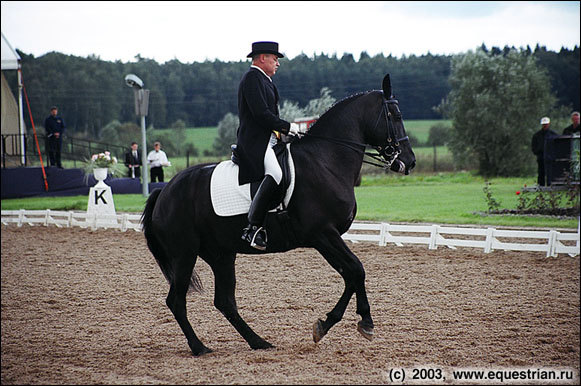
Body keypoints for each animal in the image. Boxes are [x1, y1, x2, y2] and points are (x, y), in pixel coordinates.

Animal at [143, 73, 414, 356]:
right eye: (395, 115)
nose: (408, 161)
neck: (325, 161)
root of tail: (164, 191)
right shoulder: (323, 234)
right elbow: (356, 270)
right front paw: (365, 322)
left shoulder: (328, 237)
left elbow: (350, 274)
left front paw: (326, 324)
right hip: (184, 253)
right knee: (176, 300)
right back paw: (199, 347)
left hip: (220, 254)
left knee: (224, 301)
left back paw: (258, 342)